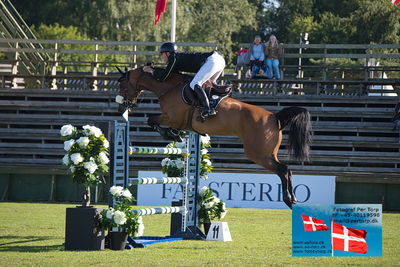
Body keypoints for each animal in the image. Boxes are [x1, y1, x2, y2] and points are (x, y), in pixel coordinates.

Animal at [116, 67, 312, 209]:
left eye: (122, 86)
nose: (122, 107)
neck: (168, 87)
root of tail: (274, 116)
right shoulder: (175, 121)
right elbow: (159, 123)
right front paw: (174, 134)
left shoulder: (171, 117)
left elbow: (151, 120)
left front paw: (169, 134)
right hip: (268, 153)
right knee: (288, 171)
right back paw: (293, 199)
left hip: (259, 154)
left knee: (283, 170)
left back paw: (288, 200)